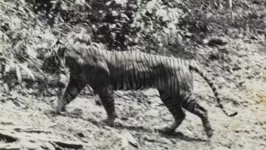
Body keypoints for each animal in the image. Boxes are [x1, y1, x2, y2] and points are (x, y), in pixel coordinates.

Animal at [43, 39, 237, 138]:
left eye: (48, 57)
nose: (42, 65)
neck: (72, 60)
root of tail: (185, 61)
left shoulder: (103, 86)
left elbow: (108, 105)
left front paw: (109, 122)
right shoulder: (76, 82)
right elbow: (66, 96)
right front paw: (56, 109)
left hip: (181, 94)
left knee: (202, 109)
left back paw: (209, 133)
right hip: (168, 96)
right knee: (180, 114)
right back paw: (167, 130)